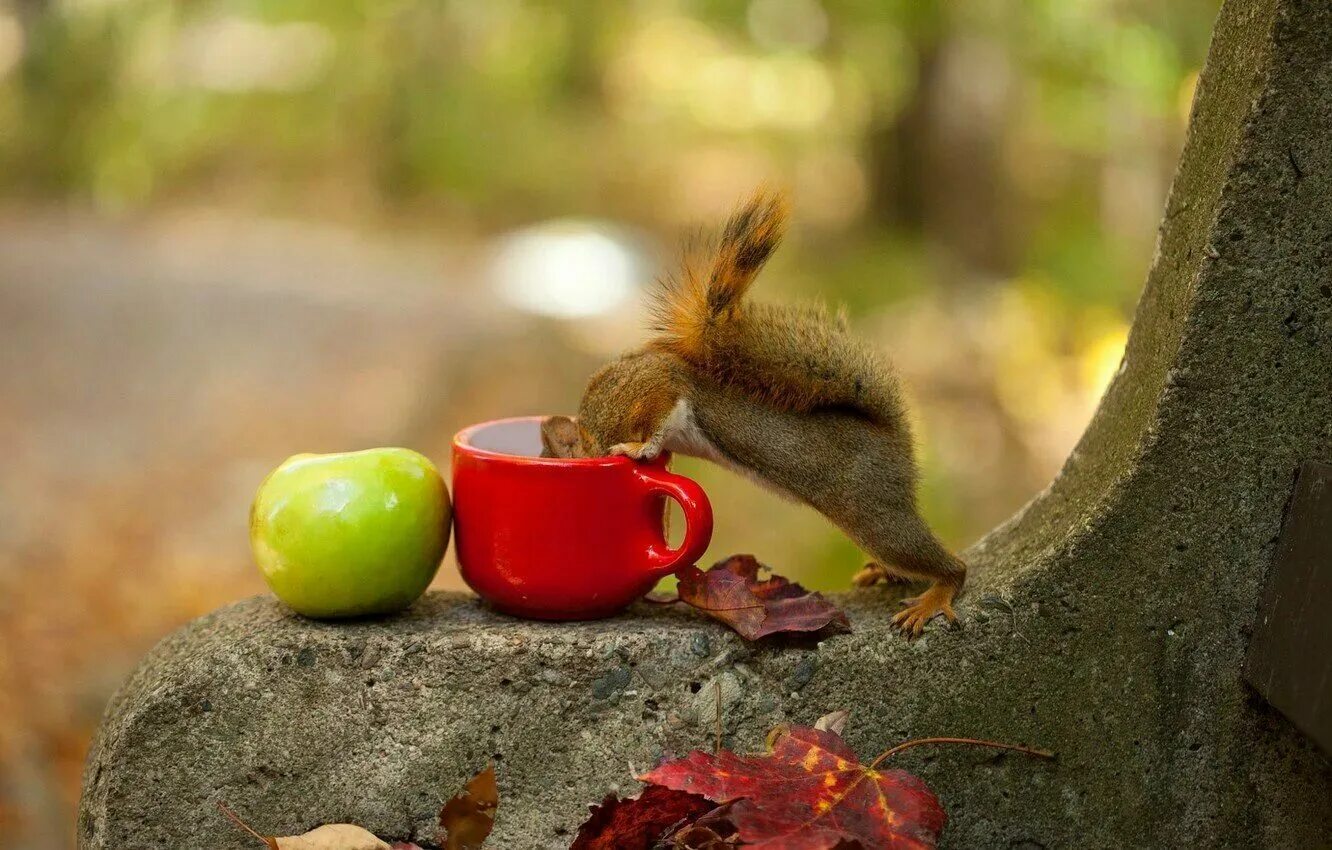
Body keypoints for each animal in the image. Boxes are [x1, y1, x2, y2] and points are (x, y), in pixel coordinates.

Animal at [540, 189, 969, 636]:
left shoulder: (651, 388)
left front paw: (638, 450)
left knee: (947, 564)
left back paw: (935, 594)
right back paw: (883, 573)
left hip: (872, 510)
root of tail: (895, 437)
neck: (593, 424)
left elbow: (659, 413)